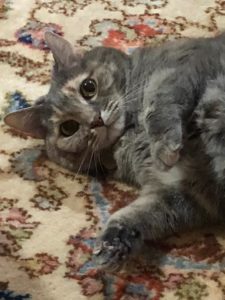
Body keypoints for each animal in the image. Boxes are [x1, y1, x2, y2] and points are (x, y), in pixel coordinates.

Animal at [3, 31, 225, 270]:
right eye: (68, 128)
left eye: (88, 86)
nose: (96, 120)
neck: (130, 134)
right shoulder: (181, 192)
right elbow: (141, 213)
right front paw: (113, 243)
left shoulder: (183, 68)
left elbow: (158, 102)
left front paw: (165, 147)